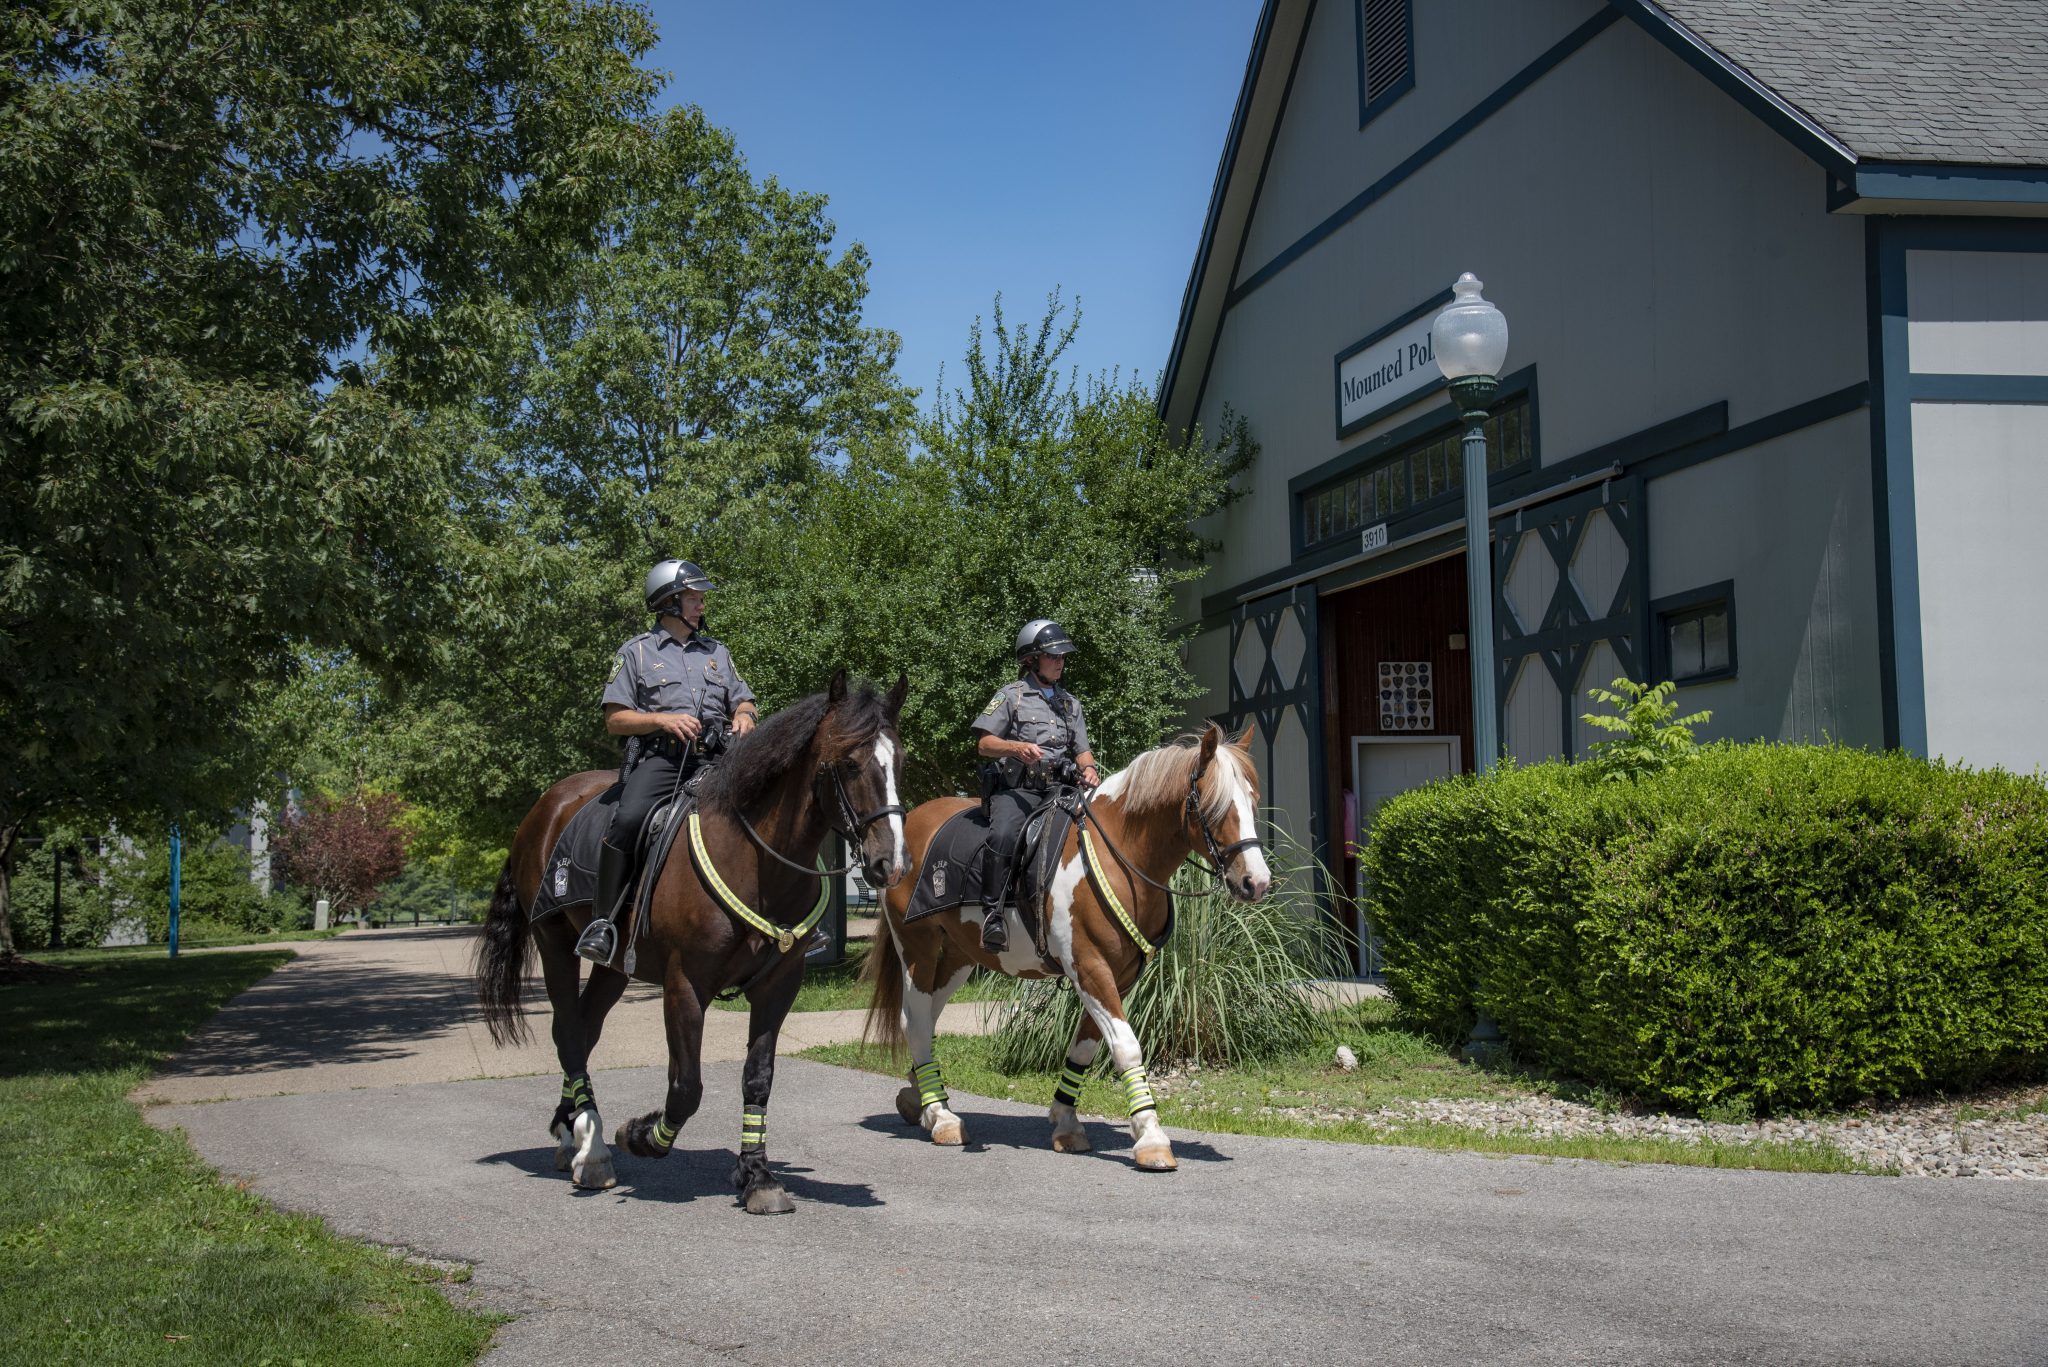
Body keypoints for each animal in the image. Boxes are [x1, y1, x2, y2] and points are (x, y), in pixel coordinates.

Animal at [475, 668, 909, 1213]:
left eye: (901, 760)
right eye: (850, 762)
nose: (891, 863)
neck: (755, 860)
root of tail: (547, 805)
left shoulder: (779, 985)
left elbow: (757, 1078)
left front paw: (757, 1175)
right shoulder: (685, 984)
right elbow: (686, 1086)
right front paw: (641, 1136)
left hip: (614, 967)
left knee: (584, 1028)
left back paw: (569, 1129)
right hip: (554, 943)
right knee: (569, 1032)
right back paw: (593, 1149)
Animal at [860, 725, 1261, 1180]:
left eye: (1253, 800)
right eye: (1214, 805)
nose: (1256, 882)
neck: (1117, 854)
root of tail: (905, 832)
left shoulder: (1118, 976)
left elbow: (1085, 1046)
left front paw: (1067, 1123)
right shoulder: (1089, 968)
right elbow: (1126, 1047)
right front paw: (1151, 1138)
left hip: (959, 957)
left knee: (925, 1017)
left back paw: (920, 1100)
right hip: (918, 948)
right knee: (916, 1019)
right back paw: (942, 1116)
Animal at [974, 618, 1105, 950]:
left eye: (1061, 657)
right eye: (1050, 654)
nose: (1060, 665)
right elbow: (987, 738)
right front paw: (1026, 750)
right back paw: (993, 923)